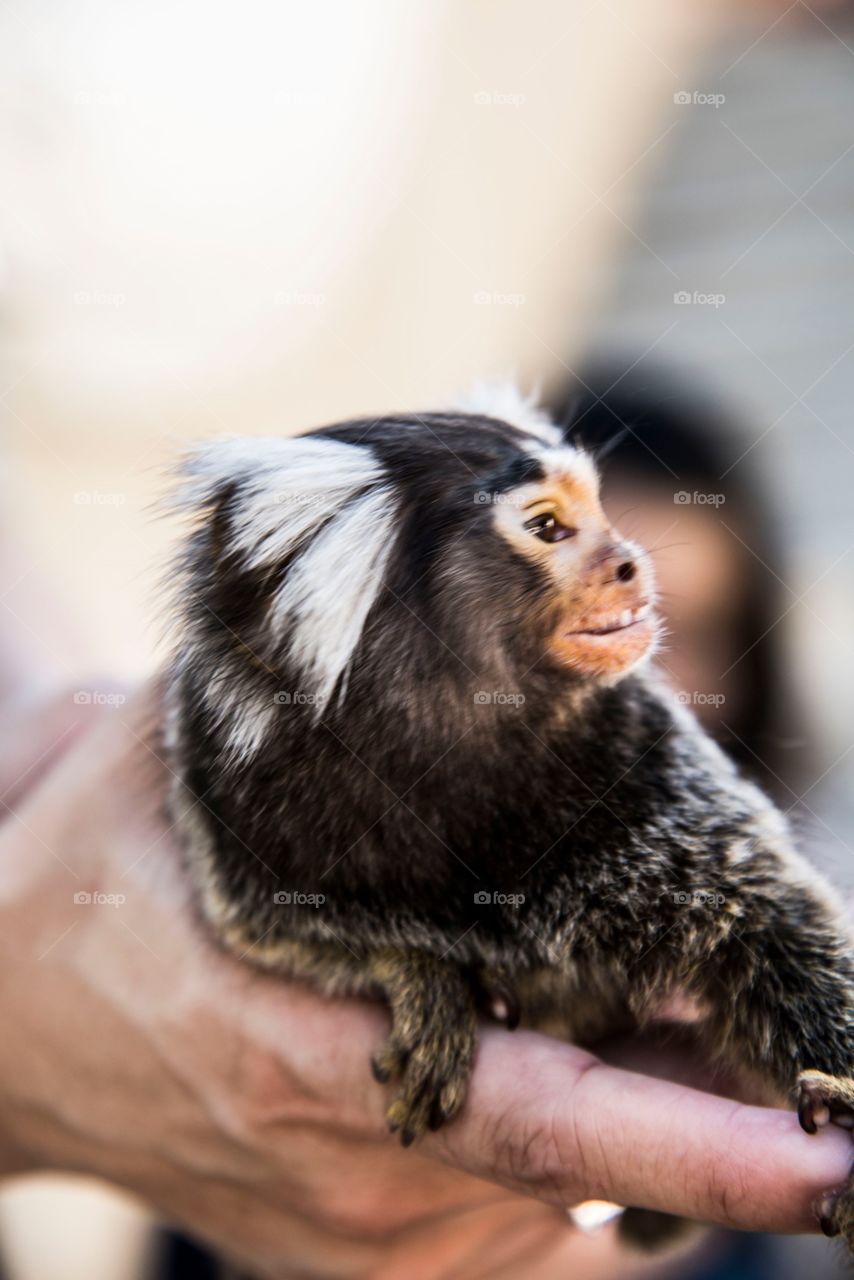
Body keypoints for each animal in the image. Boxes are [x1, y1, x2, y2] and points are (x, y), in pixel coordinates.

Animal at [164, 389, 854, 1252]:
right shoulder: (235, 801)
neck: (456, 742)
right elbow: (268, 931)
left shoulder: (654, 766)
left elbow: (768, 923)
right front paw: (423, 978)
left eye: (598, 513)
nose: (629, 561)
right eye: (549, 528)